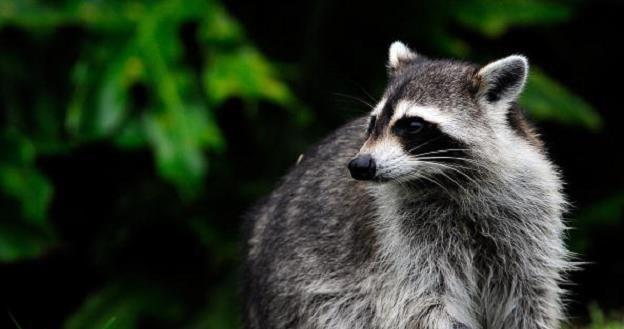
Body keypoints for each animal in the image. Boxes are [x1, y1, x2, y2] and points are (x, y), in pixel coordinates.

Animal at [243, 41, 572, 328]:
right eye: (372, 123)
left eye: (412, 125)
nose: (359, 165)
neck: (447, 179)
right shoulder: (401, 239)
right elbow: (423, 302)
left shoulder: (527, 214)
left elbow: (529, 296)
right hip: (307, 296)